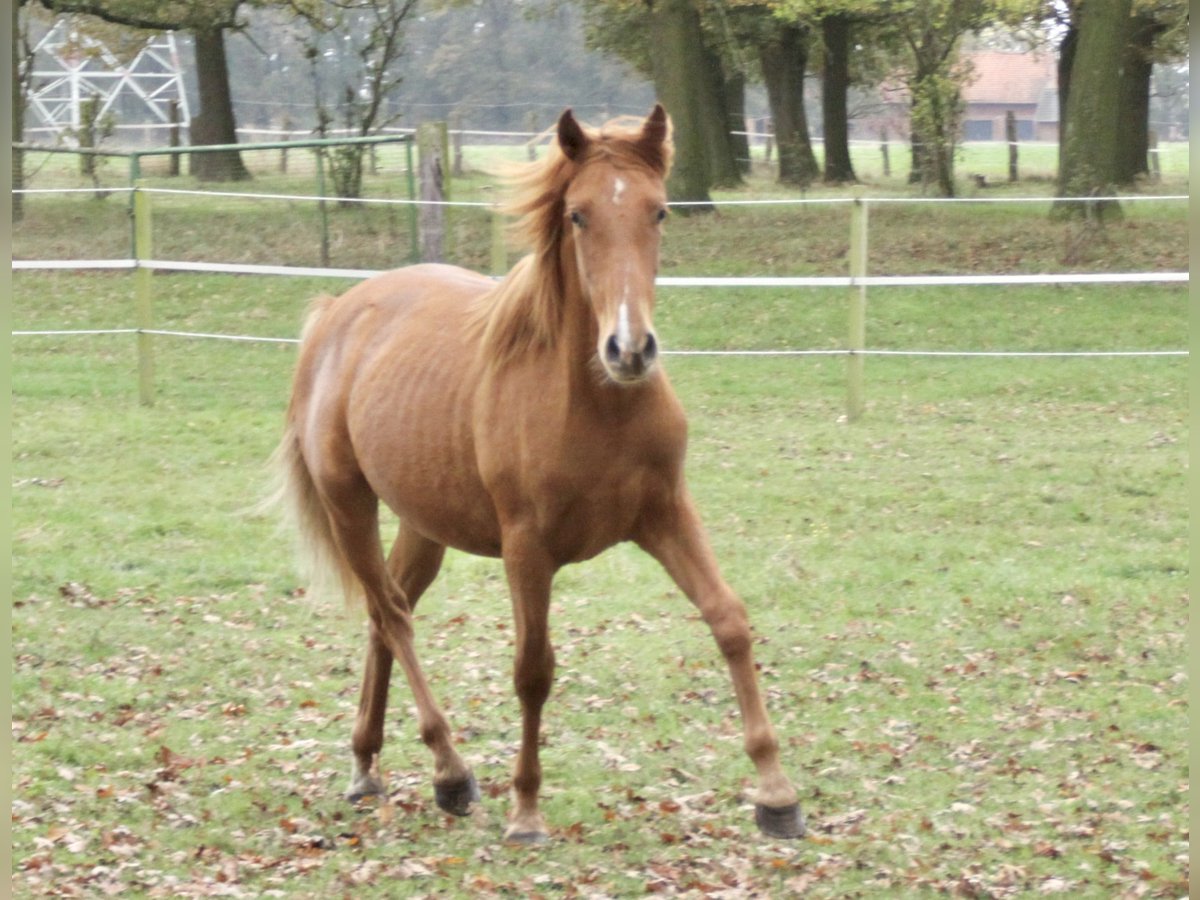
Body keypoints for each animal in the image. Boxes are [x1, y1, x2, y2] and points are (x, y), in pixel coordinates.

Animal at [274, 105, 806, 844]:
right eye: (578, 215)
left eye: (660, 211)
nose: (630, 349)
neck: (597, 404)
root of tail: (336, 315)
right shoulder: (527, 548)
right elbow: (533, 670)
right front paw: (525, 809)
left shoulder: (667, 514)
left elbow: (728, 620)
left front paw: (777, 793)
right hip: (348, 504)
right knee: (393, 615)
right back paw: (450, 772)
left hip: (422, 524)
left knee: (386, 616)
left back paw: (367, 765)